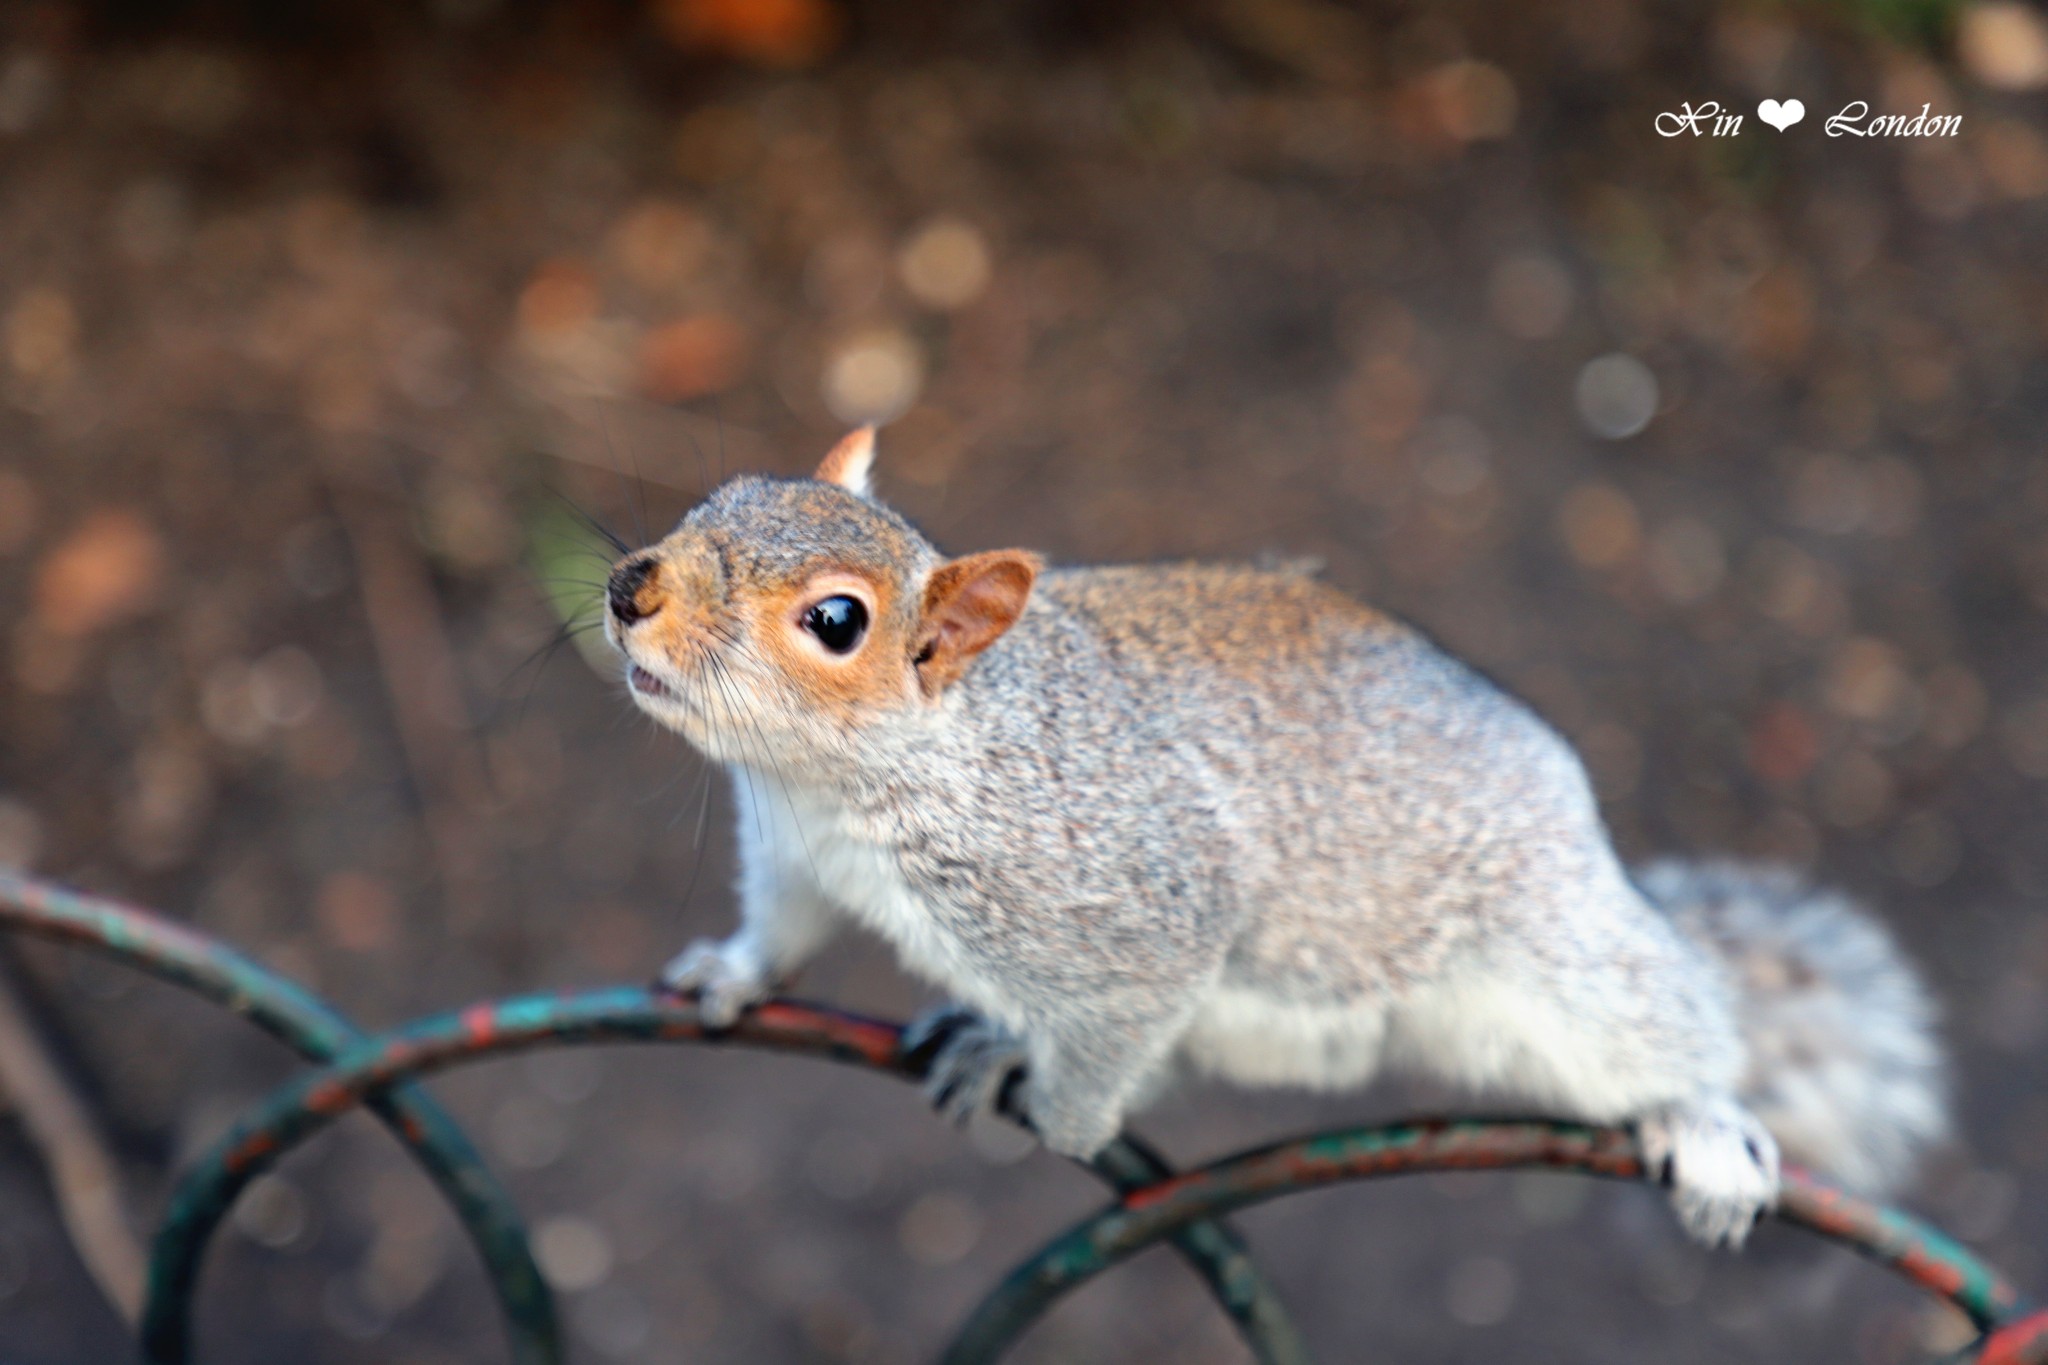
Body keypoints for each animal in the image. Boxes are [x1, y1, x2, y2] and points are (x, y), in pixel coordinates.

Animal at [598, 429, 1949, 1252]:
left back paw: (1703, 1124)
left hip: (1559, 960)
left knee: (1674, 1024)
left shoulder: (1133, 897)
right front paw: (731, 974)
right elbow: (781, 929)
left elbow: (1119, 1029)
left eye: (836, 622)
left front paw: (1066, 1125)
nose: (627, 587)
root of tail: (1588, 845)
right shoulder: (792, 854)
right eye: (717, 497)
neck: (855, 783)